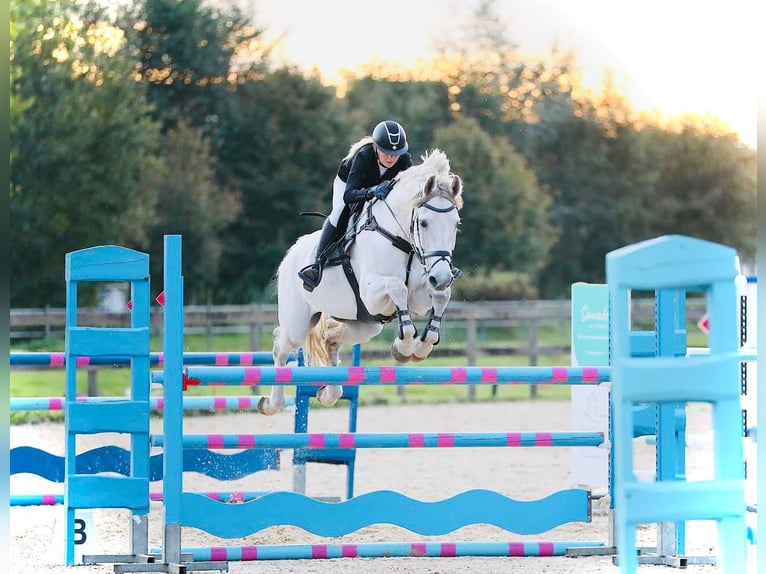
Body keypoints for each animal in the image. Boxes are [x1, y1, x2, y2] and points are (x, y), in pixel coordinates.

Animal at [258, 149, 464, 415]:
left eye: (456, 224)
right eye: (424, 223)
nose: (442, 277)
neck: (401, 238)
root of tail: (292, 252)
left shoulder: (419, 295)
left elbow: (440, 296)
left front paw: (421, 346)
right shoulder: (373, 294)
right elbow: (397, 286)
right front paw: (405, 347)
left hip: (365, 324)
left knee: (330, 338)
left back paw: (328, 393)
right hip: (298, 324)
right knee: (280, 344)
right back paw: (271, 404)